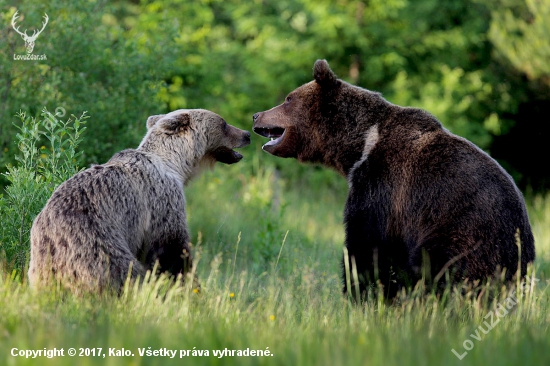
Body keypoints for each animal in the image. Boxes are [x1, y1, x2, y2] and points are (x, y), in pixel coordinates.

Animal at [28, 108, 248, 294]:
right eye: (224, 123)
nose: (246, 134)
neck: (176, 165)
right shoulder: (161, 200)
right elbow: (171, 249)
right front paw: (189, 287)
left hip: (42, 262)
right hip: (97, 242)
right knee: (124, 274)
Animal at [256, 58, 540, 298]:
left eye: (288, 99)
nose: (256, 115)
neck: (360, 146)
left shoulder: (383, 185)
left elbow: (366, 244)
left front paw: (360, 292)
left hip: (464, 230)